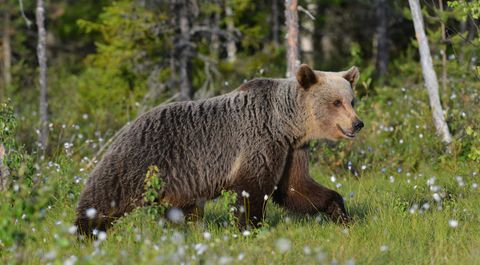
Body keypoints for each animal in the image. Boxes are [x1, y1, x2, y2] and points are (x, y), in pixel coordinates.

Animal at [74, 64, 364, 235]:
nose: (357, 123)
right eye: (336, 102)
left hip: (179, 182)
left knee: (184, 212)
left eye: (351, 100)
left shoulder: (292, 150)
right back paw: (85, 232)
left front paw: (342, 214)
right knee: (104, 196)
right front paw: (249, 228)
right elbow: (252, 190)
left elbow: (296, 188)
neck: (287, 123)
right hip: (141, 161)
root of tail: (126, 126)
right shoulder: (260, 142)